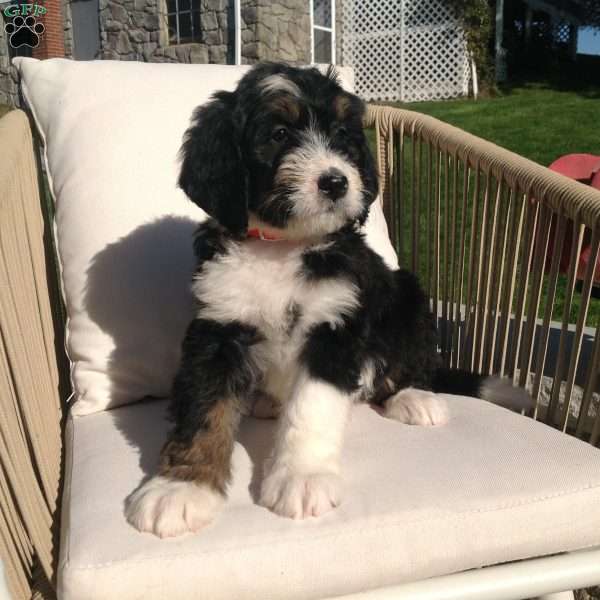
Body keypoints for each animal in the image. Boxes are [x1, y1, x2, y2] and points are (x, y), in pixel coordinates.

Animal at [125, 64, 528, 540]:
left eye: (341, 134)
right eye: (279, 133)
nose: (336, 182)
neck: (282, 246)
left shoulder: (335, 325)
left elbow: (311, 407)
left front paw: (302, 479)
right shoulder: (218, 326)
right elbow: (203, 410)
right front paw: (179, 488)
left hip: (407, 298)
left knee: (410, 365)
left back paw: (413, 397)